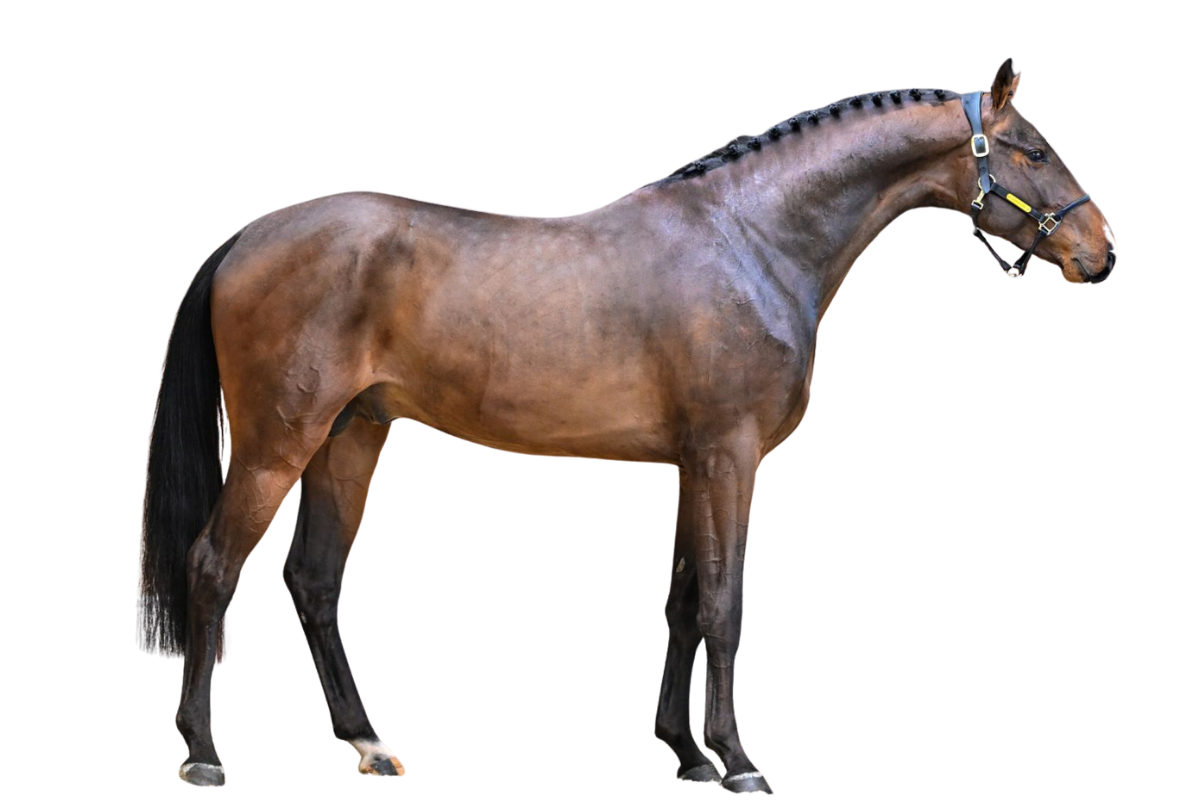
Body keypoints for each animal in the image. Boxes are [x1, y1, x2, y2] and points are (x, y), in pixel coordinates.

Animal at [137, 59, 1116, 792]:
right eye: (1034, 150)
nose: (1104, 252)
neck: (751, 241)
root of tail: (248, 236)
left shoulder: (693, 461)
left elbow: (681, 603)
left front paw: (687, 755)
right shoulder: (730, 455)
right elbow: (724, 603)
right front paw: (740, 762)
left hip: (353, 435)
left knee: (314, 580)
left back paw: (369, 746)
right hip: (279, 442)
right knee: (212, 565)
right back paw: (203, 755)